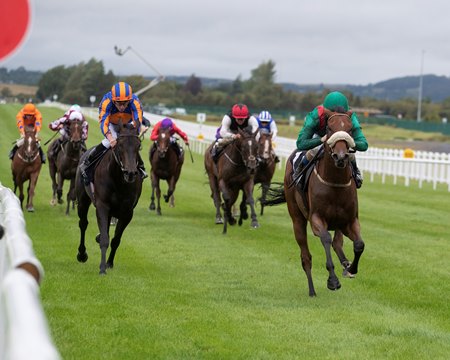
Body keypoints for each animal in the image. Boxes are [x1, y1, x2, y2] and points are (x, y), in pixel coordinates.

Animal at [74, 124, 142, 276]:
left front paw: (109, 263)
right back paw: (82, 254)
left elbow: (116, 239)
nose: (130, 173)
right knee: (83, 223)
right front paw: (102, 268)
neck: (119, 181)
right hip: (83, 200)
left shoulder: (127, 212)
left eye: (139, 146)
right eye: (120, 145)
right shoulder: (102, 206)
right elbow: (105, 239)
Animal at [266, 110, 364, 298]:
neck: (335, 183)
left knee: (337, 243)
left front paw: (352, 268)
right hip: (297, 219)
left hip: (338, 224)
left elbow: (359, 244)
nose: (341, 156)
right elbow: (325, 238)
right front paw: (332, 280)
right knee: (306, 257)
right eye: (329, 128)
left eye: (350, 129)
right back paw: (312, 290)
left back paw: (345, 265)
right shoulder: (316, 219)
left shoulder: (350, 221)